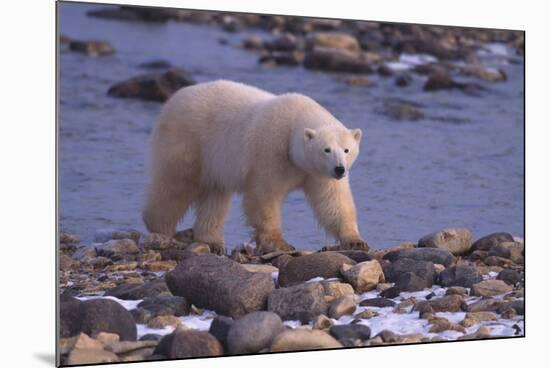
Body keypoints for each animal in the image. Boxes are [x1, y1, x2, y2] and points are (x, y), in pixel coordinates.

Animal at [142, 80, 368, 253]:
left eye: (347, 150)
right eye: (326, 149)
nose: (339, 169)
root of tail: (172, 100)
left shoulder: (317, 174)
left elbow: (333, 201)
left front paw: (355, 240)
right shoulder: (270, 151)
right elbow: (264, 195)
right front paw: (279, 243)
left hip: (214, 160)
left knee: (215, 196)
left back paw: (211, 240)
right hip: (188, 141)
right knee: (176, 185)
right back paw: (161, 229)